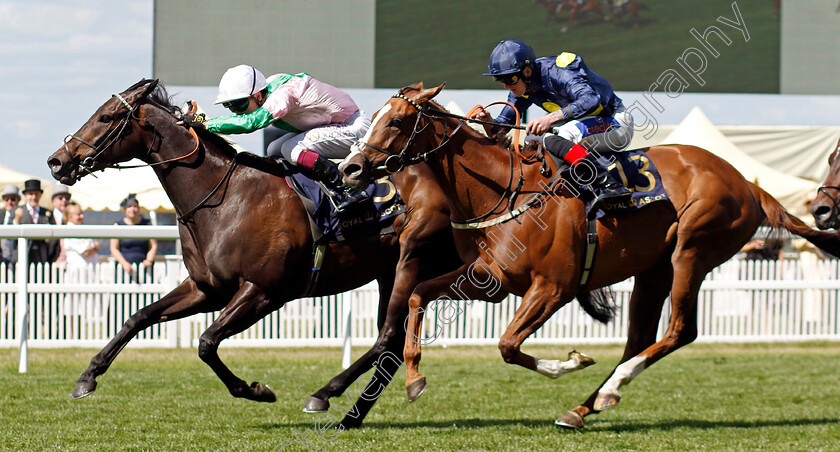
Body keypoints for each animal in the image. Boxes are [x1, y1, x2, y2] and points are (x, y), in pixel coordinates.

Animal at [46, 78, 460, 428]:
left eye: (106, 117)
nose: (57, 161)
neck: (225, 197)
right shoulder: (207, 289)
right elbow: (138, 317)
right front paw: (87, 377)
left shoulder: (264, 291)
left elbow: (206, 343)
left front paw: (255, 390)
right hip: (390, 272)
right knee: (390, 345)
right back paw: (350, 416)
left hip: (414, 262)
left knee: (388, 338)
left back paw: (327, 396)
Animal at [340, 83, 840, 430]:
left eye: (397, 121)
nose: (350, 168)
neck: (504, 190)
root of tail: (748, 186)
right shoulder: (489, 279)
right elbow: (418, 296)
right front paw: (414, 379)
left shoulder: (553, 287)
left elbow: (507, 345)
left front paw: (570, 362)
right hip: (654, 269)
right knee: (640, 338)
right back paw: (585, 407)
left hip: (693, 251)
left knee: (680, 330)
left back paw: (611, 388)